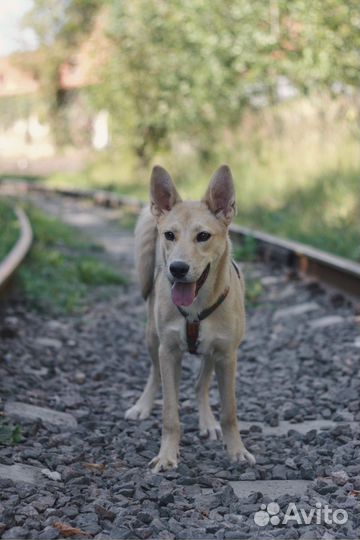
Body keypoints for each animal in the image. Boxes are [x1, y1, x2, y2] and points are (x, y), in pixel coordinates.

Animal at [125, 165, 255, 472]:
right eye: (169, 235)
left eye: (203, 236)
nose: (177, 268)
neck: (196, 306)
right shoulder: (169, 351)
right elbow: (170, 413)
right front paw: (167, 455)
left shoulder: (227, 355)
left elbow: (229, 412)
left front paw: (237, 451)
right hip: (152, 339)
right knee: (155, 376)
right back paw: (143, 405)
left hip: (212, 352)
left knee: (200, 384)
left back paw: (207, 422)